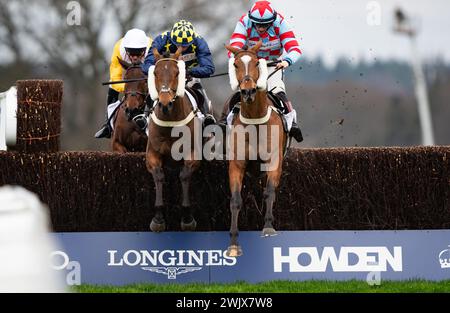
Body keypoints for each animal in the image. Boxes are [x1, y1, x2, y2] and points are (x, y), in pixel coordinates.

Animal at [146, 47, 200, 232]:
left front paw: (187, 217)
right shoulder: (152, 153)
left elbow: (184, 175)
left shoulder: (193, 153)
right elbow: (158, 175)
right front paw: (158, 218)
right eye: (155, 72)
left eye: (177, 73)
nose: (165, 103)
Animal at [225, 41, 288, 256]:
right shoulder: (236, 164)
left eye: (256, 63)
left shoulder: (274, 161)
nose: (248, 91)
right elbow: (235, 200)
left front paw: (268, 227)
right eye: (235, 64)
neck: (255, 120)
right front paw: (233, 243)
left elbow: (270, 192)